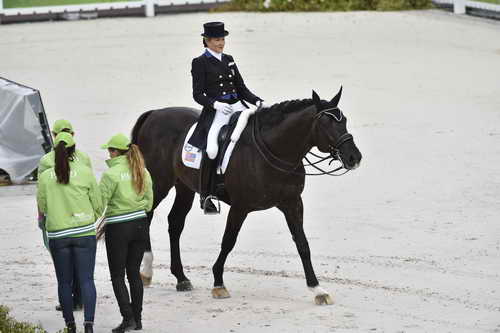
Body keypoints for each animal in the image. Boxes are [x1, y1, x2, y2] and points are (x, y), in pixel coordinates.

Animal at [132, 87, 360, 304]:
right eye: (326, 124)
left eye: (345, 121)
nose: (354, 157)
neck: (274, 150)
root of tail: (155, 113)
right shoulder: (240, 207)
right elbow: (228, 241)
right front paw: (218, 283)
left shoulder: (292, 203)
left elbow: (303, 244)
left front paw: (317, 289)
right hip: (159, 182)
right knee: (147, 216)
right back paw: (147, 271)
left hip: (184, 187)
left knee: (175, 223)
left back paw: (181, 278)